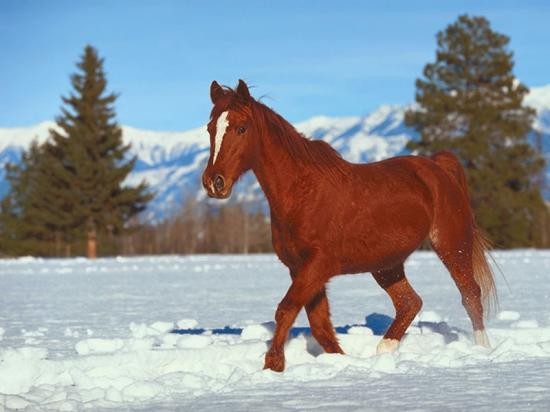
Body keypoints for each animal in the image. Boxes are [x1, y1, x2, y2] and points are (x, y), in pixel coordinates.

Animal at [203, 79, 500, 372]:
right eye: (210, 128)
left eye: (241, 128)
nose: (214, 182)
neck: (302, 193)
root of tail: (438, 167)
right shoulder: (300, 268)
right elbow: (319, 325)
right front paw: (339, 361)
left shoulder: (318, 265)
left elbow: (286, 309)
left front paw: (273, 364)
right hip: (386, 265)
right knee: (410, 302)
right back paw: (384, 350)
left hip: (451, 245)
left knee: (470, 295)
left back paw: (481, 349)